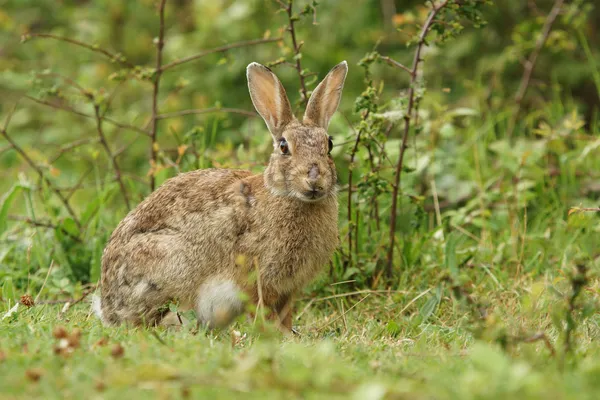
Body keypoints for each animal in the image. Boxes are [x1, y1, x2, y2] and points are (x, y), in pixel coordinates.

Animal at [92, 61, 350, 330]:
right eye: (283, 147)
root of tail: (109, 308)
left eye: (329, 145)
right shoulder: (255, 278)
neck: (288, 197)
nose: (314, 179)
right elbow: (262, 311)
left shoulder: (288, 290)